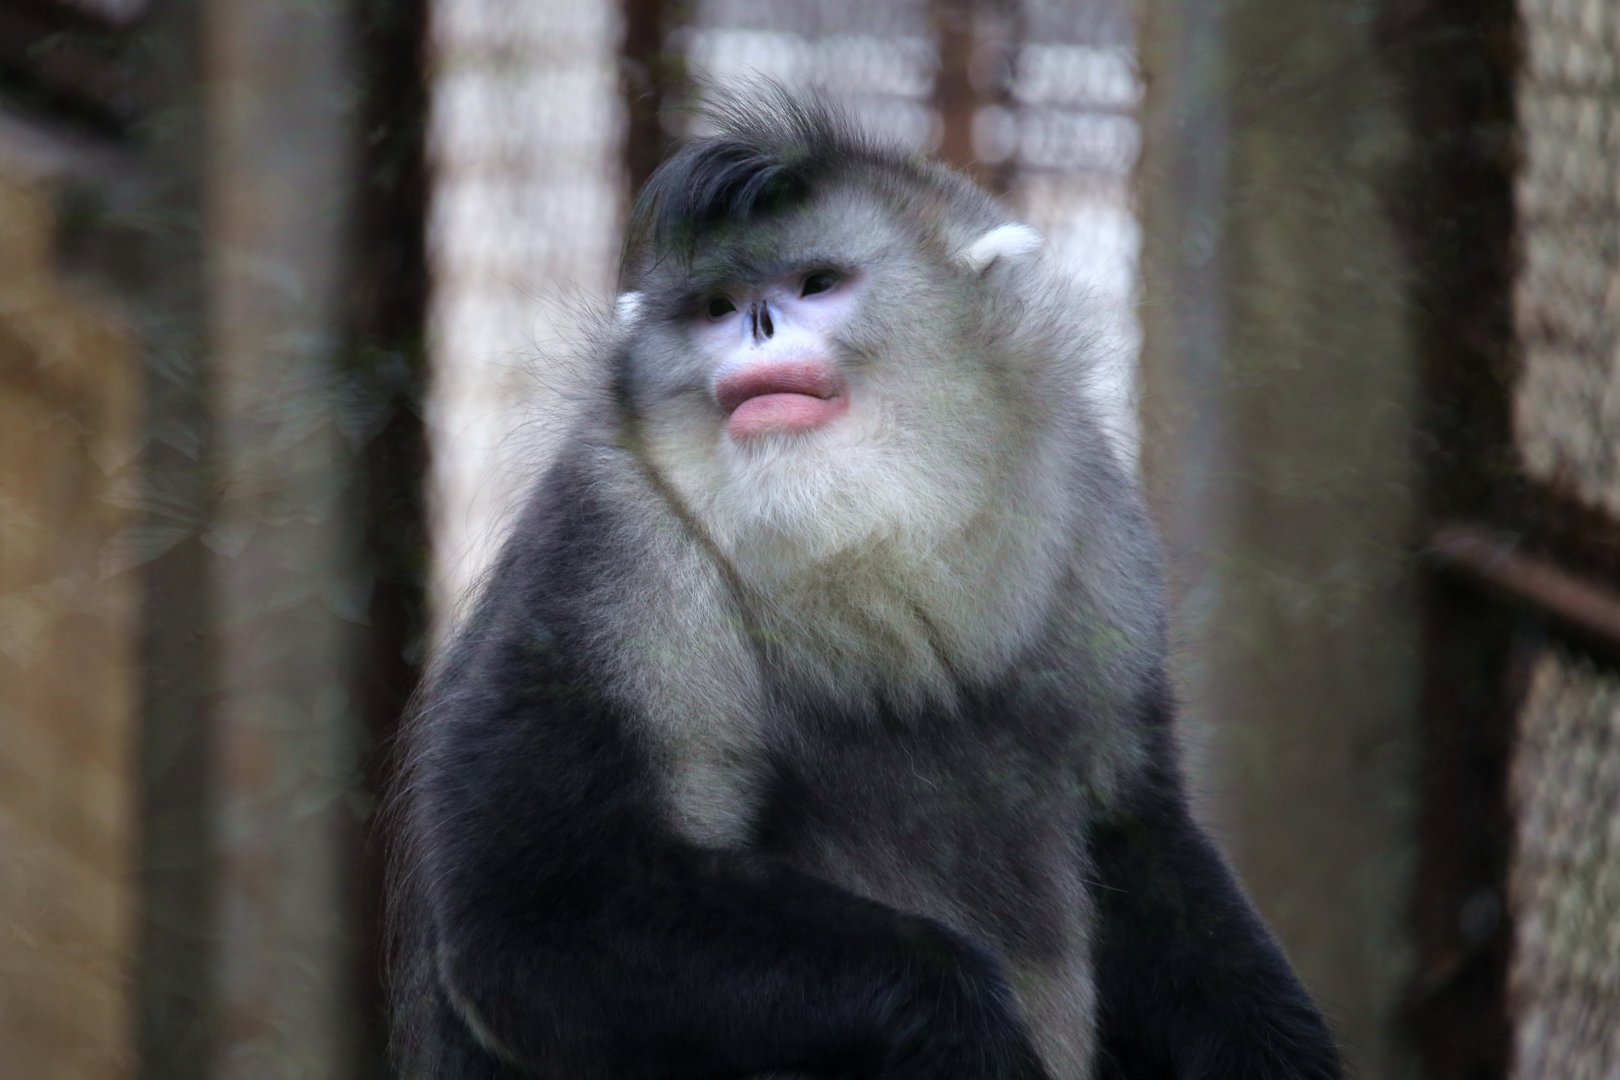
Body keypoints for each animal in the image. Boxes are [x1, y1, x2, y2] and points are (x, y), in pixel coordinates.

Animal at [388, 88, 1343, 1080]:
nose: (760, 326)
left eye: (815, 284)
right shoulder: (607, 550)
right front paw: (965, 1027)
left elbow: (1132, 828)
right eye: (719, 307)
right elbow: (534, 921)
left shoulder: (1097, 514)